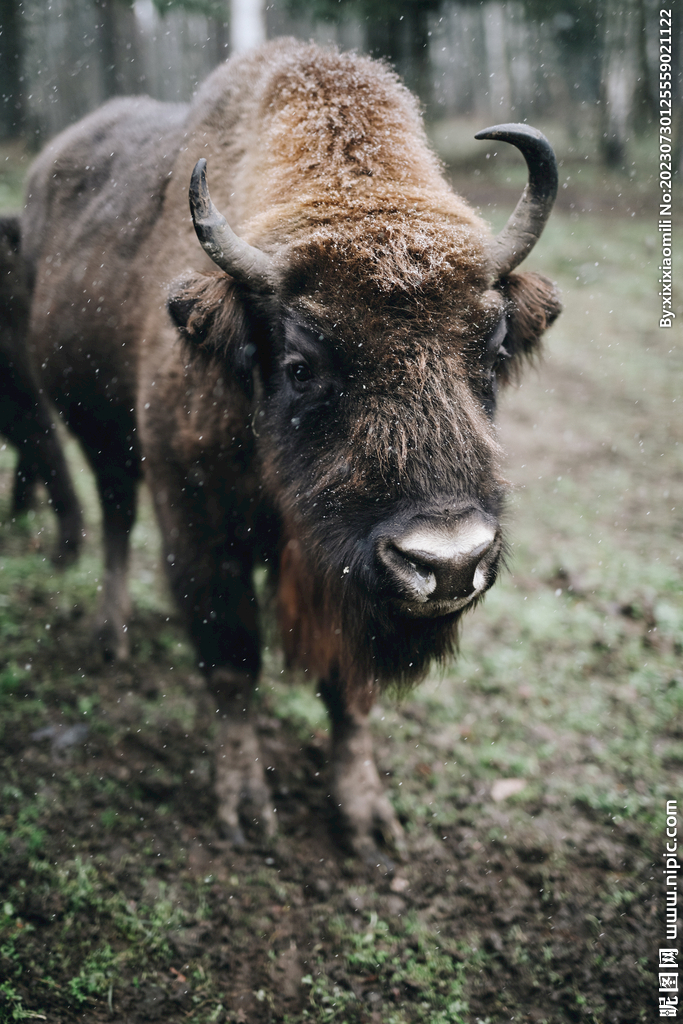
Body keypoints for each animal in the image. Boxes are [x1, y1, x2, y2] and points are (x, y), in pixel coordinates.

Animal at [24, 37, 565, 856]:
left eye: (494, 348)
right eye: (302, 364)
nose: (446, 563)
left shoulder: (341, 581)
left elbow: (348, 690)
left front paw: (367, 819)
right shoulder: (199, 527)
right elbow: (230, 662)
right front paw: (244, 808)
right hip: (96, 430)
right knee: (115, 515)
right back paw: (109, 639)